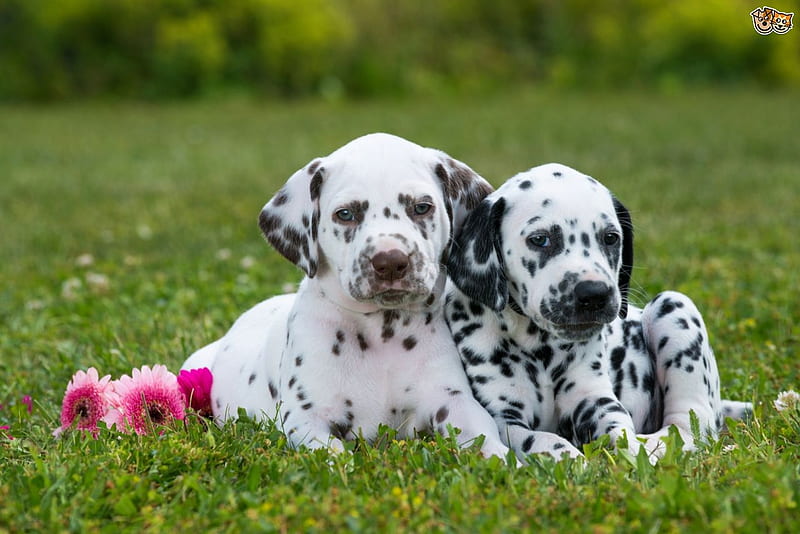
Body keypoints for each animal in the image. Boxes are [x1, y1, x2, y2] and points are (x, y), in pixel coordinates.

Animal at [180, 133, 512, 460]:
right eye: (346, 214)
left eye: (421, 207)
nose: (390, 261)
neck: (383, 334)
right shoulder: (307, 419)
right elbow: (333, 456)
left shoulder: (452, 401)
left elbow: (483, 436)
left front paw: (507, 460)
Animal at [444, 163, 752, 464]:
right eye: (540, 239)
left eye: (611, 238)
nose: (594, 294)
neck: (541, 349)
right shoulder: (504, 419)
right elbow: (544, 439)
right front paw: (571, 459)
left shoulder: (594, 400)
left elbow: (621, 429)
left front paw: (633, 453)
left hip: (674, 306)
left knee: (690, 428)